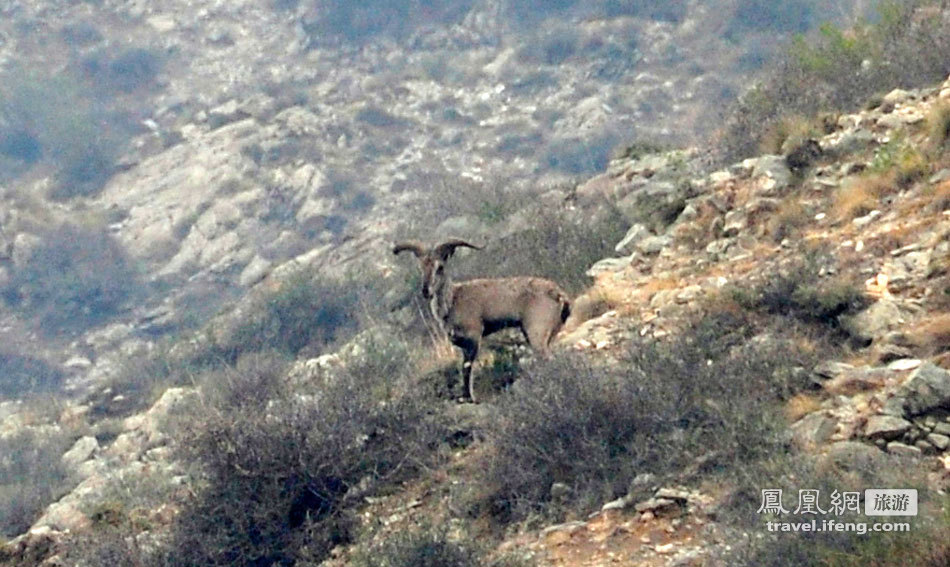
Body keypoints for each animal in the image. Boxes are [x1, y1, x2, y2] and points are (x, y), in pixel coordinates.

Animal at [394, 240, 572, 404]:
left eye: (440, 267)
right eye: (421, 268)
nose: (426, 291)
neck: (453, 300)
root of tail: (559, 294)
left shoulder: (473, 337)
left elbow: (467, 368)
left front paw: (468, 397)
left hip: (537, 332)